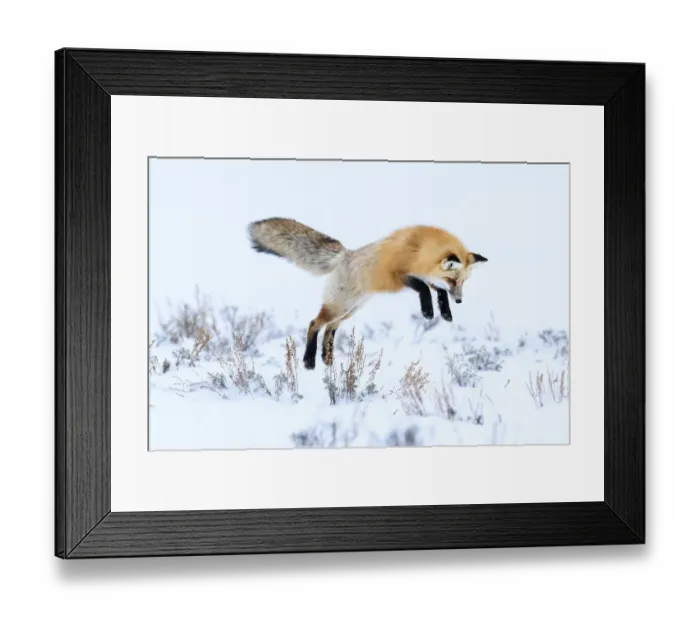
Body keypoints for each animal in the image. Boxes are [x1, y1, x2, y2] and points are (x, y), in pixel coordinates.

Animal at [247, 217, 488, 370]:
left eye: (462, 282)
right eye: (453, 280)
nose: (460, 300)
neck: (419, 250)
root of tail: (345, 255)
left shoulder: (427, 276)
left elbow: (437, 292)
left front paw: (445, 312)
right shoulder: (397, 275)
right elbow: (423, 288)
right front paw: (428, 311)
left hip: (351, 309)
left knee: (330, 328)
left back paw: (327, 358)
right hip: (341, 306)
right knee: (314, 324)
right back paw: (309, 361)